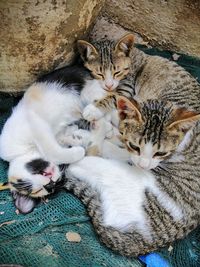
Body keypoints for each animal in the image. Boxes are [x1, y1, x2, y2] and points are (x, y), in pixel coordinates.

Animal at [63, 96, 200, 258]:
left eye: (160, 153)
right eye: (135, 146)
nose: (143, 165)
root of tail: (138, 242)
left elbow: (109, 148)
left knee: (83, 160)